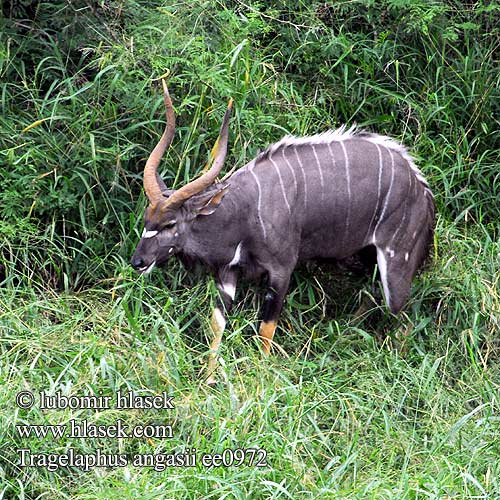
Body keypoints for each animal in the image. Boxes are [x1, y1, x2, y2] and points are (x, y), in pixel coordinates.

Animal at [132, 81, 434, 382]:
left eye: (170, 224)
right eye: (147, 219)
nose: (138, 261)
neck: (242, 213)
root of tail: (423, 190)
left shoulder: (281, 270)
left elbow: (266, 328)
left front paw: (260, 377)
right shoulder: (227, 272)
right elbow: (217, 323)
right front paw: (209, 379)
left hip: (396, 265)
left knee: (403, 317)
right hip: (366, 257)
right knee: (372, 298)